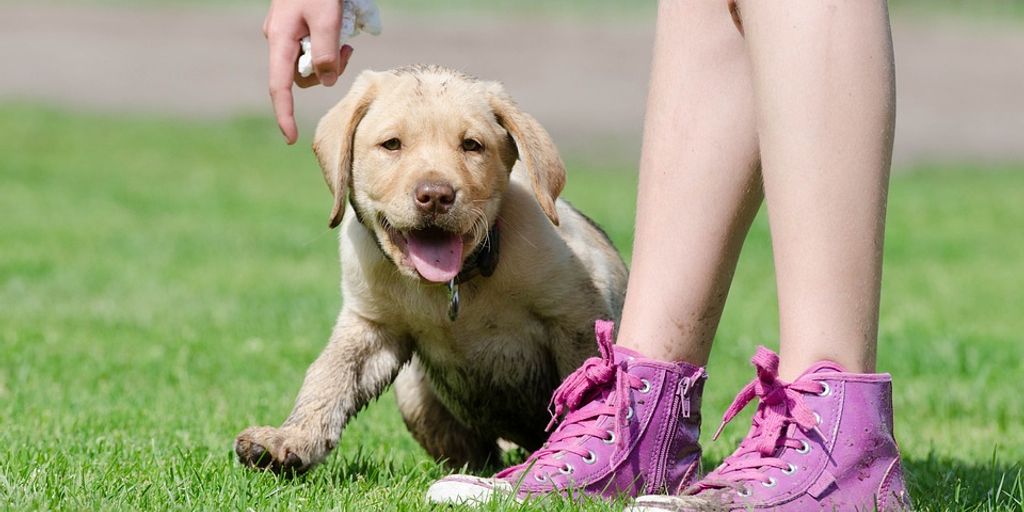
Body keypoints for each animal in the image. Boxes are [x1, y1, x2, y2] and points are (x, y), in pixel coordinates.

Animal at [235, 66, 626, 473]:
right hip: (414, 393)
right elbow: (329, 377)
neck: (454, 285)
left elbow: (585, 386)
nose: (436, 196)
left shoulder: (576, 317)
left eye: (472, 145)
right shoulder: (370, 326)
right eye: (392, 144)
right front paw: (291, 438)